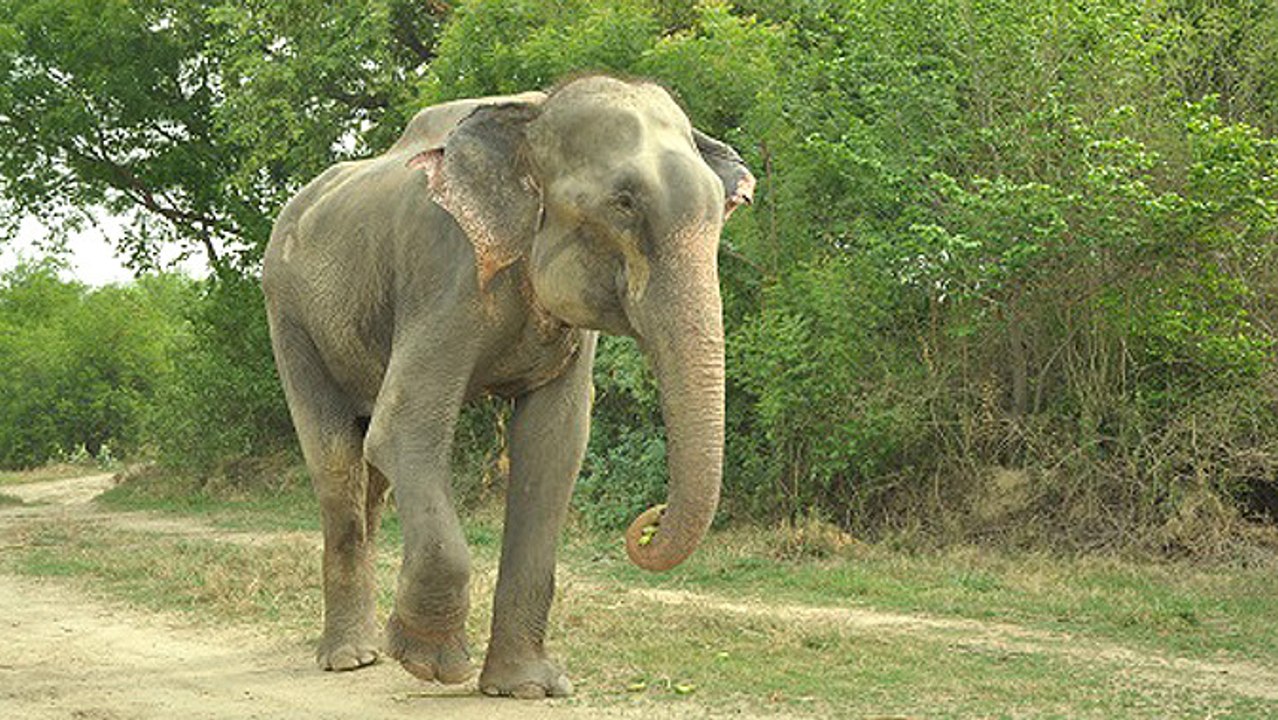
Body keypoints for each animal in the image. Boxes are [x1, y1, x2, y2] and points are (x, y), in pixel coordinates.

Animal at [261, 74, 754, 699]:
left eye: (722, 210)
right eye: (623, 203)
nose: (649, 522)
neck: (533, 114)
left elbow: (553, 447)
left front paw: (529, 688)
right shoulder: (445, 267)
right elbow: (403, 431)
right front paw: (430, 665)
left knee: (367, 474)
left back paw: (365, 651)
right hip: (289, 314)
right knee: (337, 460)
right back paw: (350, 658)